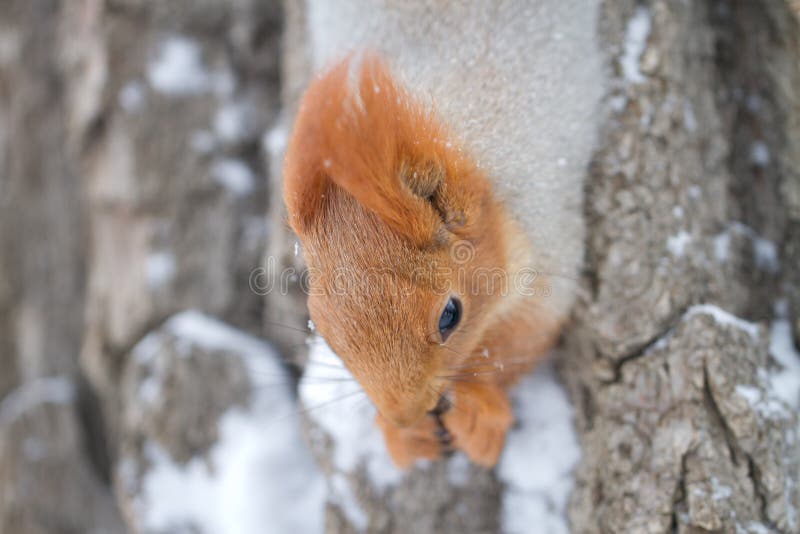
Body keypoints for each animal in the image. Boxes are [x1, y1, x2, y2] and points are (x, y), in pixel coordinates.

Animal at [282, 2, 601, 468]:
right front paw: (405, 437)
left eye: (450, 315)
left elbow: (527, 332)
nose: (406, 413)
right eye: (321, 329)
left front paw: (477, 407)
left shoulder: (547, 236)